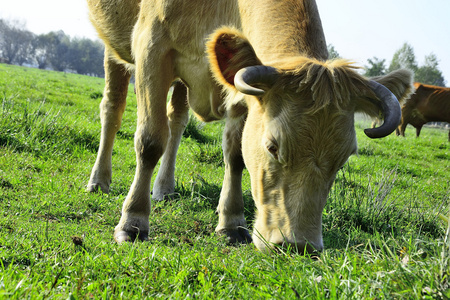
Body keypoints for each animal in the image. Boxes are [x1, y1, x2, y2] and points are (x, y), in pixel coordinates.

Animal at [86, 0, 414, 253]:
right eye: (273, 146)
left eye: (343, 157)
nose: (299, 246)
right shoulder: (151, 47)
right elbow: (150, 140)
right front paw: (133, 221)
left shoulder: (246, 92)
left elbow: (236, 154)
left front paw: (231, 222)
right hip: (114, 46)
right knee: (113, 109)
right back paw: (99, 181)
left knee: (176, 120)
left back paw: (164, 188)